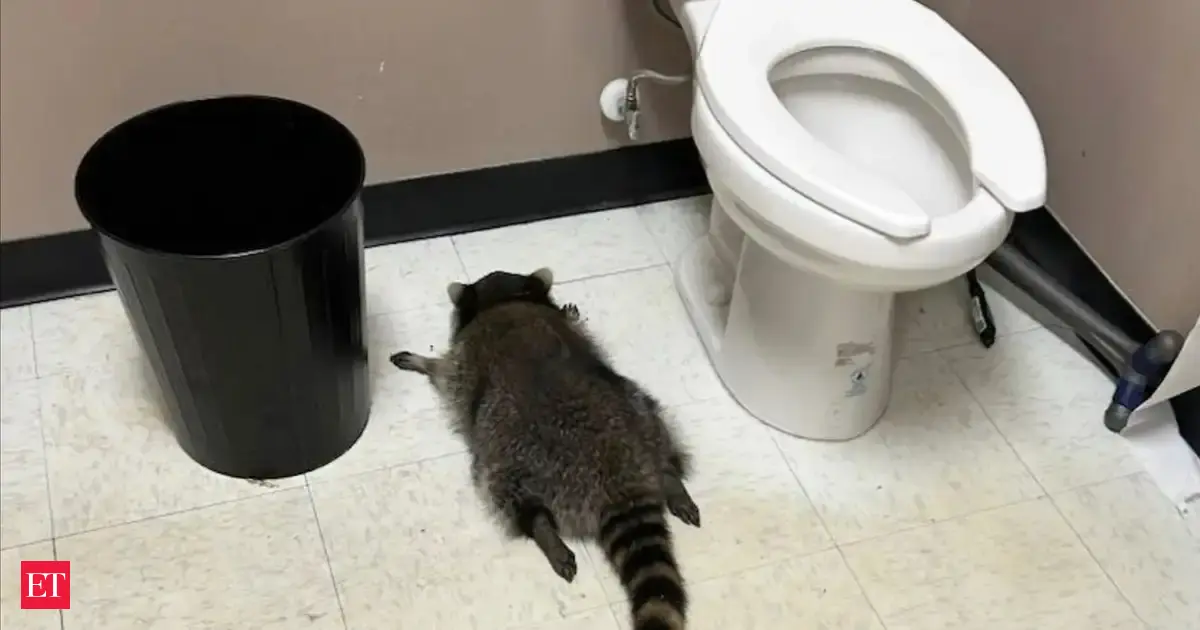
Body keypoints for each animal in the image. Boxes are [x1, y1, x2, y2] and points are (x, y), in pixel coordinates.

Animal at [389, 268, 700, 630]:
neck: (505, 299)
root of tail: (618, 475)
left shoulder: (464, 358)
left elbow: (445, 373)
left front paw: (424, 362)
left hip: (514, 456)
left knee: (506, 491)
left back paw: (542, 529)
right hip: (638, 409)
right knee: (656, 429)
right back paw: (670, 478)